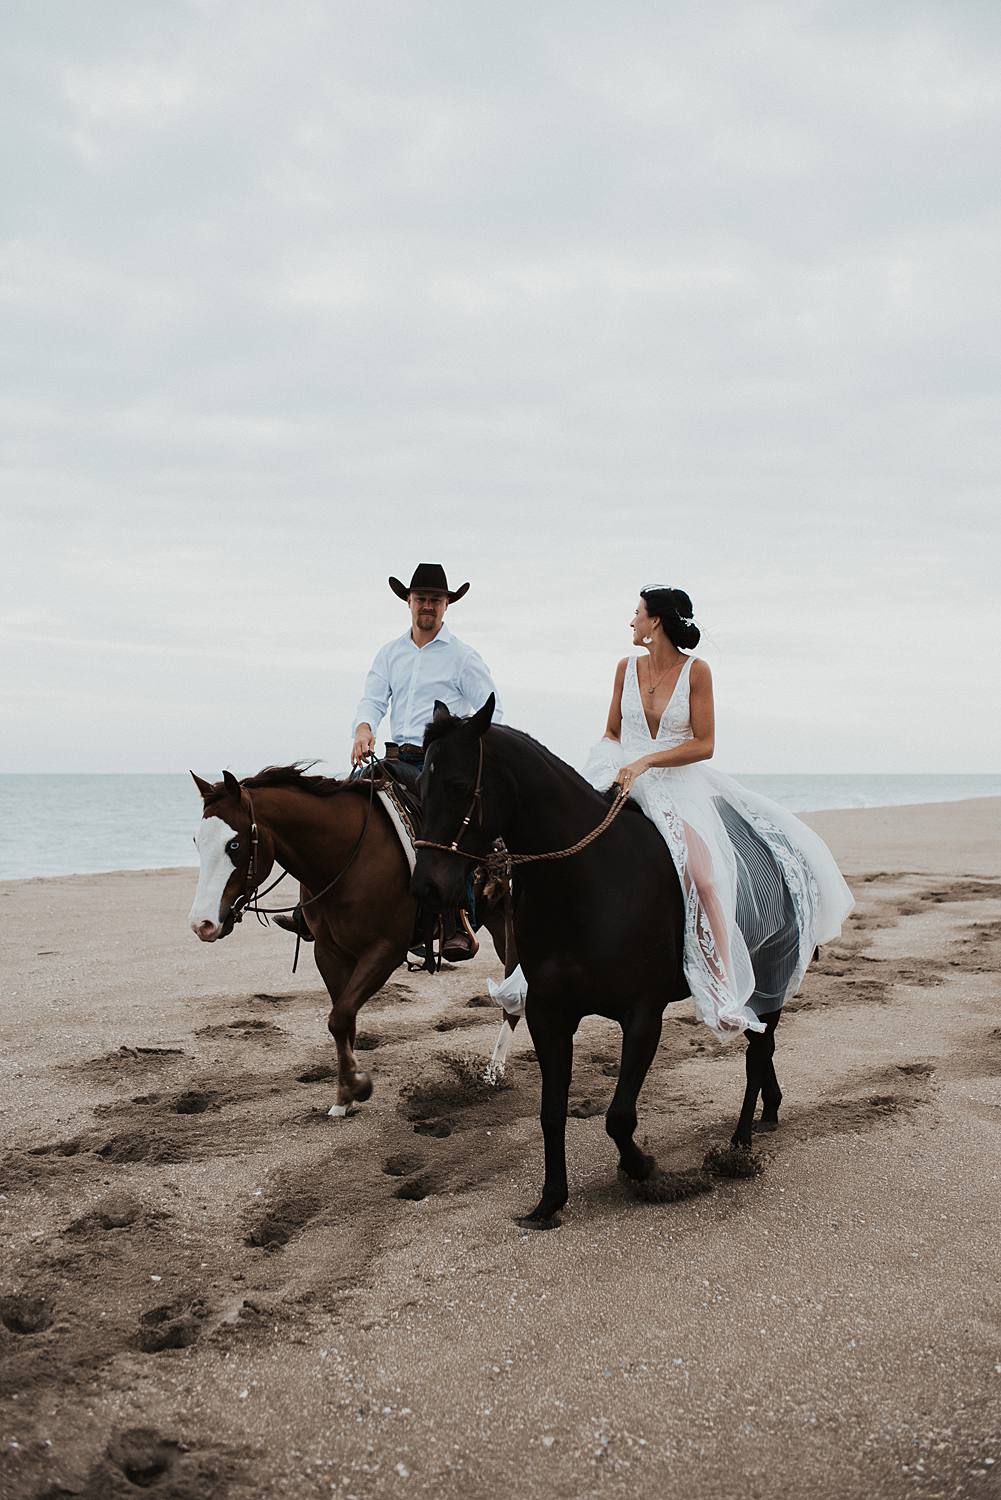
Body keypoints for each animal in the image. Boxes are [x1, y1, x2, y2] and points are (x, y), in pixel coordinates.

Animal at [190, 768, 510, 1110]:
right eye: (197, 841)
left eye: (234, 844)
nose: (202, 924)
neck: (345, 859)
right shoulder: (329, 952)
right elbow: (344, 1019)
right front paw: (344, 1097)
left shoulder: (384, 951)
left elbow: (340, 1018)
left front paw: (358, 1086)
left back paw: (495, 1071)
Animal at [411, 696, 792, 1224]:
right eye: (418, 787)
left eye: (458, 786)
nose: (426, 888)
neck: (589, 883)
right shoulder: (548, 1014)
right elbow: (552, 1112)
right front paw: (550, 1200)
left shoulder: (643, 1014)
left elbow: (618, 1116)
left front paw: (645, 1169)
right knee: (762, 1046)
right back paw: (768, 1111)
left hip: (770, 976)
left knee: (757, 1054)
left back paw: (739, 1144)